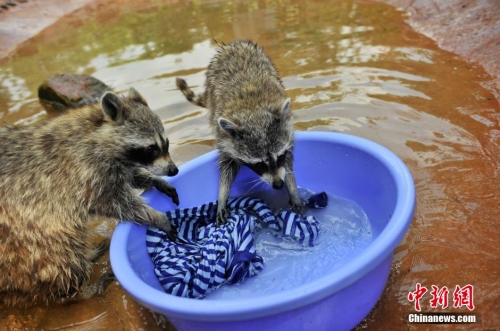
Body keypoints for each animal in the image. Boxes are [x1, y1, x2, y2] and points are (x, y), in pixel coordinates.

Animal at [0, 87, 179, 306]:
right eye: (151, 148)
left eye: (166, 143)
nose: (173, 170)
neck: (96, 133)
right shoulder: (84, 171)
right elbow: (115, 203)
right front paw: (155, 215)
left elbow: (128, 177)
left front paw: (152, 179)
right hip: (26, 235)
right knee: (63, 257)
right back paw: (81, 290)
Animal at [177, 39, 304, 226]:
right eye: (259, 164)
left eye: (278, 157)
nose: (278, 185)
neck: (253, 111)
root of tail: (232, 44)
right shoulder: (224, 137)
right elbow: (226, 169)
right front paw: (222, 194)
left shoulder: (287, 131)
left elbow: (288, 163)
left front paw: (292, 187)